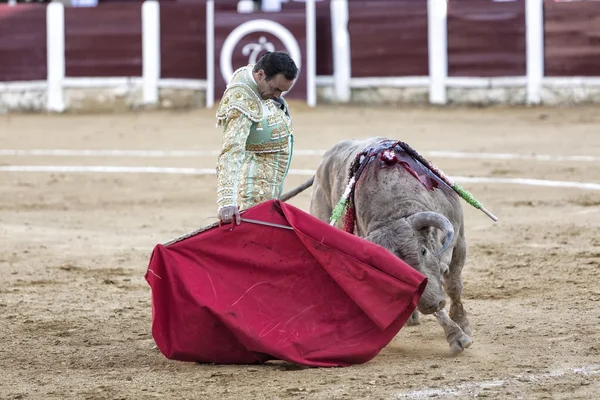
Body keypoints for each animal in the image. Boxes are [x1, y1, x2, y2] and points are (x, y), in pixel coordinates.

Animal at [282, 138, 474, 354]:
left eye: (423, 251)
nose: (432, 304)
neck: (393, 208)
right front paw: (457, 336)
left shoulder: (459, 239)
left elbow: (453, 286)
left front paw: (462, 323)